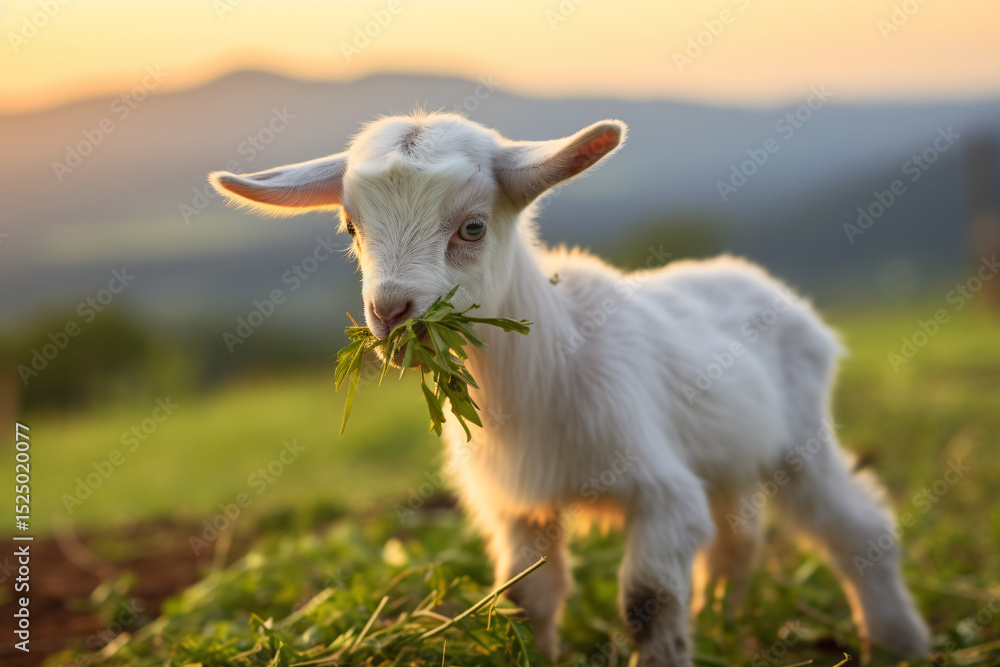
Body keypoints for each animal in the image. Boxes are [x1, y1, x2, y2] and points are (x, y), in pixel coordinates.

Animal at [209, 112, 930, 666]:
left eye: (472, 226)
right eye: (351, 229)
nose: (393, 314)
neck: (543, 372)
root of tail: (763, 282)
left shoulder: (661, 489)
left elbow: (647, 601)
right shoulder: (519, 505)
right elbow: (525, 600)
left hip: (803, 436)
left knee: (856, 528)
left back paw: (900, 641)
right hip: (729, 454)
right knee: (736, 540)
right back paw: (728, 622)